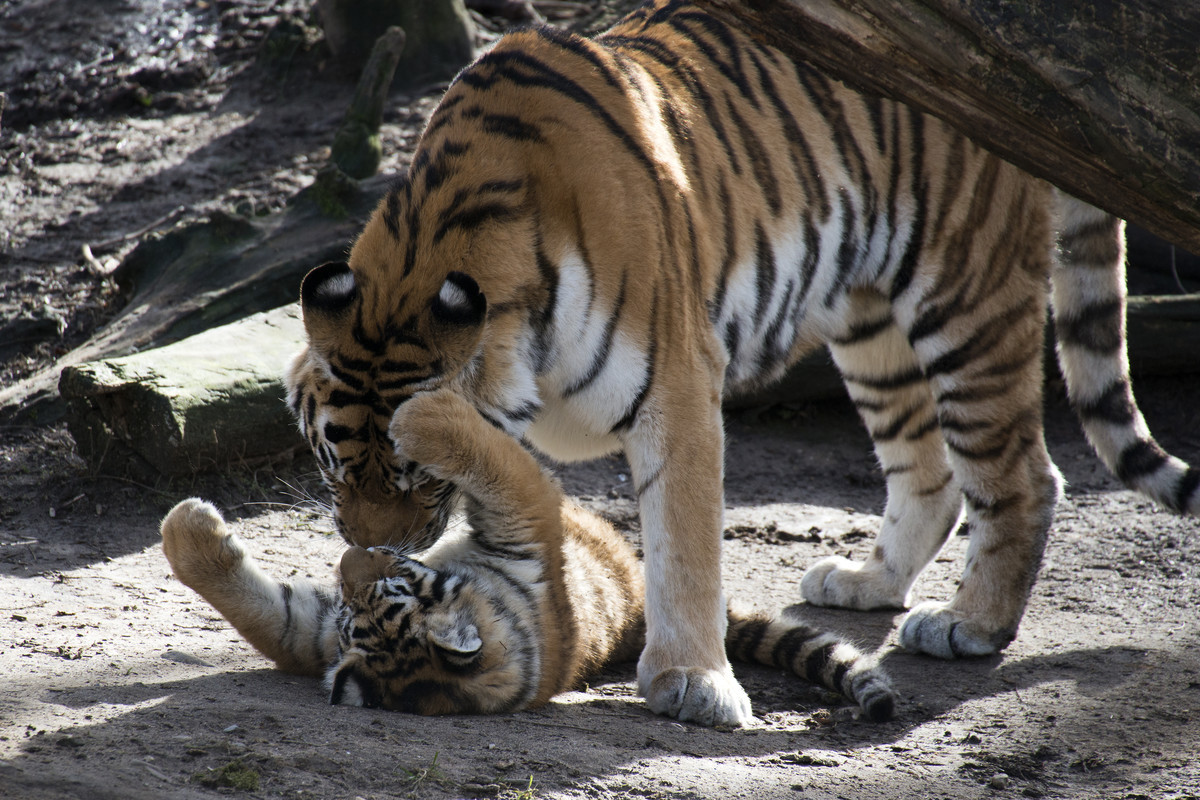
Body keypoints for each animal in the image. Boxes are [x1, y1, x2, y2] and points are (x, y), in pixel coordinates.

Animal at [159, 391, 897, 724]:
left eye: (400, 577)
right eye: (353, 608)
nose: (352, 560)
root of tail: (639, 609)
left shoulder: (527, 520)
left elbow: (495, 460)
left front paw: (420, 415)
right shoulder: (316, 635)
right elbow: (264, 612)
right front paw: (187, 527)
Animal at [283, 0, 1200, 729]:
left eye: (414, 479)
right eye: (333, 468)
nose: (362, 556)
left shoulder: (680, 386)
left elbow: (683, 545)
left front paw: (693, 681)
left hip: (967, 298)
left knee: (1023, 476)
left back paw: (970, 624)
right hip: (871, 324)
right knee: (931, 475)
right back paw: (867, 580)